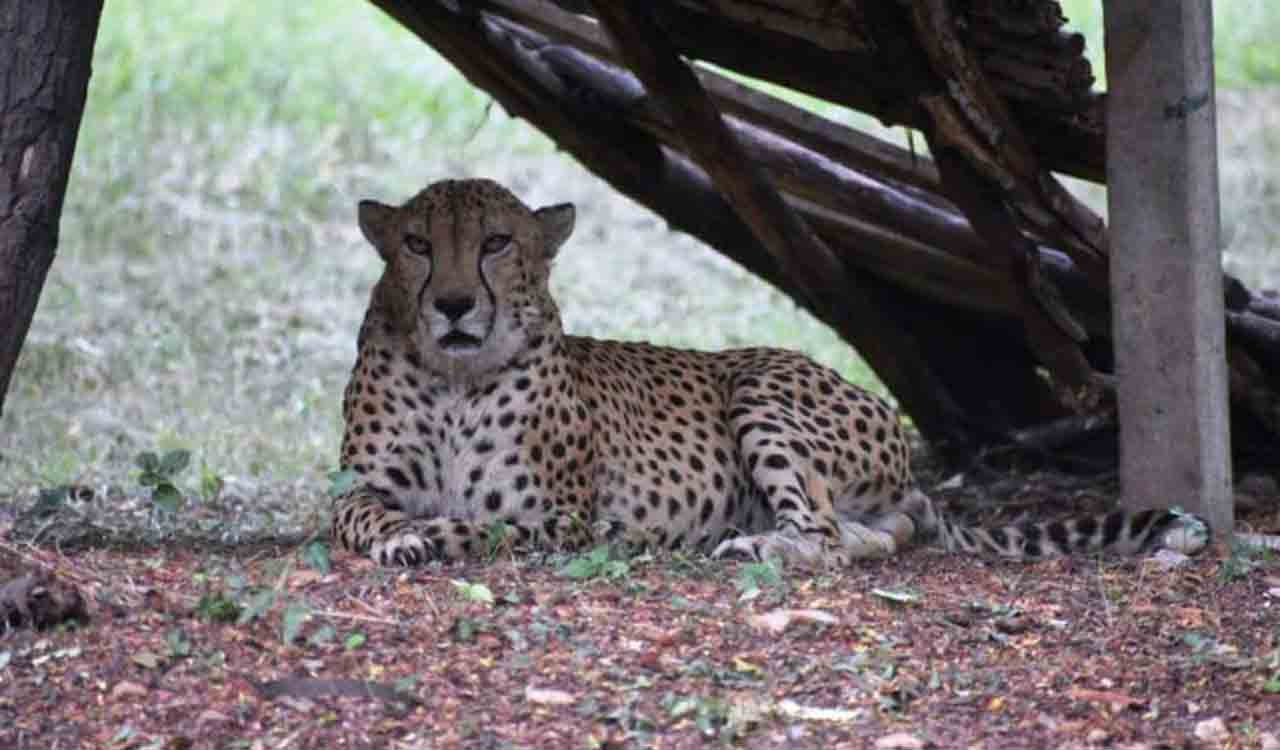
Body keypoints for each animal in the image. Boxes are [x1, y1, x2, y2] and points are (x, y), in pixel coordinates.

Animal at [330, 177, 1209, 567]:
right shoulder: (356, 488)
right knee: (867, 538)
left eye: (495, 243)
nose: (451, 305)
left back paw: (754, 545)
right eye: (417, 244)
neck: (455, 378)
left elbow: (488, 524)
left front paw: (431, 535)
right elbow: (361, 516)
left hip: (760, 391)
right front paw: (402, 536)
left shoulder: (563, 516)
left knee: (820, 531)